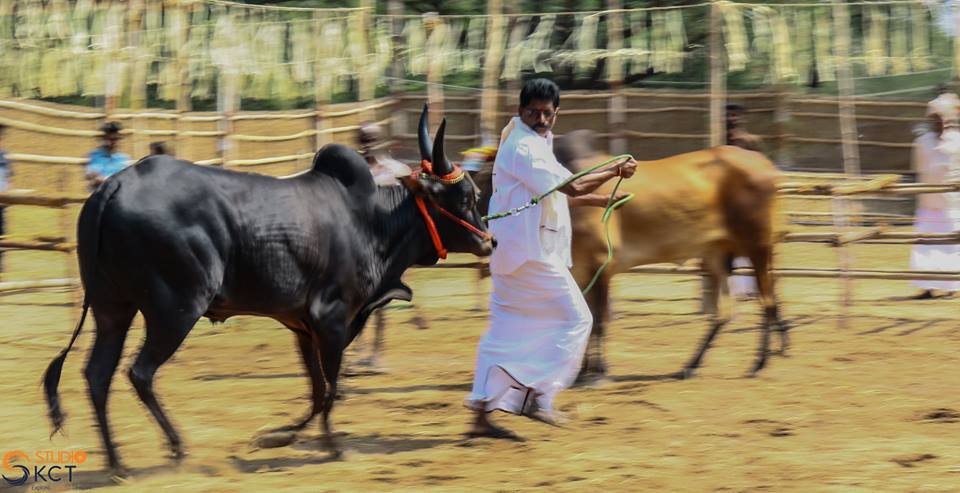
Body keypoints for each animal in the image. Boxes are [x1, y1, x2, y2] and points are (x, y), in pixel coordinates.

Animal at [41, 106, 492, 472]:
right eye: (466, 196)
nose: (489, 242)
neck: (373, 223)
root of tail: (112, 186)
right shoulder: (331, 321)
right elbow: (331, 388)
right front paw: (329, 444)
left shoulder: (303, 326)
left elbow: (318, 390)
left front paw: (279, 436)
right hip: (176, 310)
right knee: (139, 373)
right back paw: (176, 448)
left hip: (112, 309)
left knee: (97, 374)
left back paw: (116, 461)